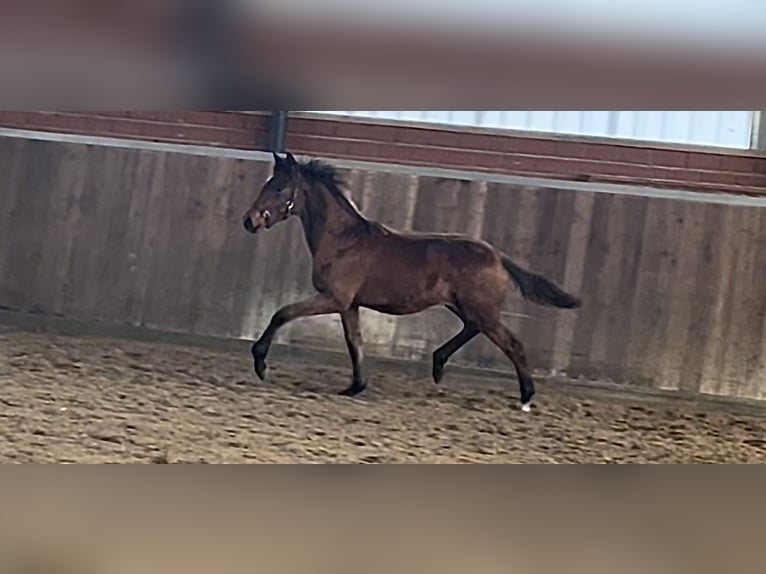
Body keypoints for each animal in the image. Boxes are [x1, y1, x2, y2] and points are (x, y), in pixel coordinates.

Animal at [243, 152, 582, 412]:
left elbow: (282, 313)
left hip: (481, 309)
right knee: (473, 328)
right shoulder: (349, 305)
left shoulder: (333, 298)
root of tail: (497, 256)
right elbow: (355, 342)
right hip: (464, 306)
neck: (344, 241)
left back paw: (525, 398)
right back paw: (438, 364)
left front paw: (260, 364)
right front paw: (356, 386)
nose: (250, 221)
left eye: (280, 187)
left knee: (512, 343)